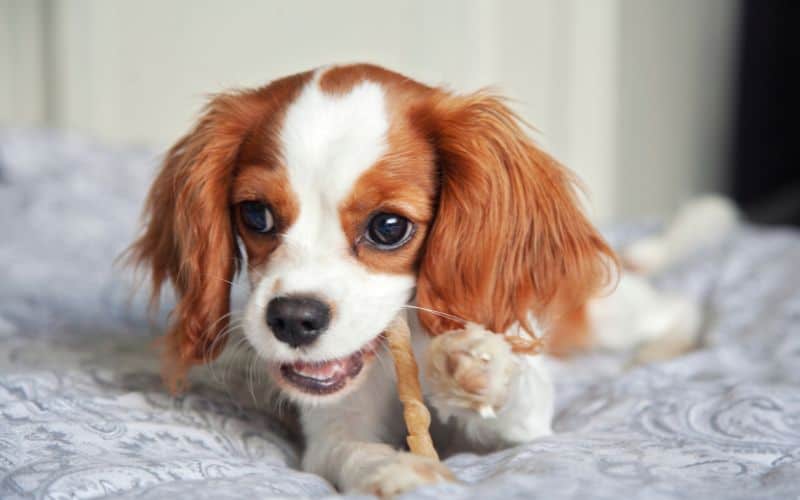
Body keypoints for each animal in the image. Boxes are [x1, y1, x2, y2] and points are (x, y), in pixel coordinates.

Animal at [128, 63, 704, 496]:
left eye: (389, 227)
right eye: (256, 215)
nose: (292, 319)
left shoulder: (526, 424)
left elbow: (520, 398)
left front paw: (481, 366)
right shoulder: (333, 425)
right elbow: (353, 450)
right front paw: (397, 469)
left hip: (606, 313)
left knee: (679, 308)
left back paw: (662, 350)